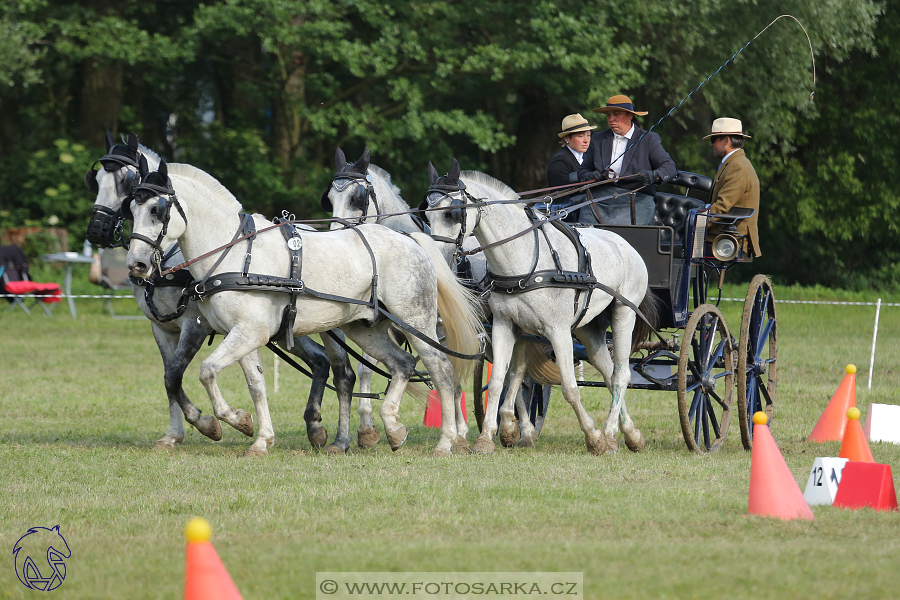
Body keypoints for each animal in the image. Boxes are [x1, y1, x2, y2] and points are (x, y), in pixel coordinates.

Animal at [83, 131, 352, 450]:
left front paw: (210, 423)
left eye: (126, 182)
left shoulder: (195, 324)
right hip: (285, 329)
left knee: (344, 372)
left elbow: (175, 374)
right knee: (320, 361)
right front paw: (174, 434)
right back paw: (314, 426)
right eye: (97, 180)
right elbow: (169, 378)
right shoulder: (162, 328)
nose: (97, 230)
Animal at [125, 159, 486, 454]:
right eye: (132, 208)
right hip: (365, 329)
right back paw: (393, 428)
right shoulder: (242, 333)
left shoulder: (247, 332)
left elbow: (207, 370)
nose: (137, 265)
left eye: (157, 210)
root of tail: (412, 241)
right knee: (403, 363)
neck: (236, 253)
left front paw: (227, 421)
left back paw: (447, 441)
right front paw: (258, 435)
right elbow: (256, 385)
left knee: (441, 369)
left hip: (417, 321)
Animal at [422, 159, 652, 454]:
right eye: (427, 215)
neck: (522, 259)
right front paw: (487, 438)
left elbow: (569, 387)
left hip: (624, 313)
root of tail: (623, 243)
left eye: (452, 213)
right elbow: (499, 381)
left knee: (621, 375)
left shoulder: (558, 331)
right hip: (589, 329)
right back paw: (630, 434)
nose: (438, 257)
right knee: (610, 374)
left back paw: (610, 433)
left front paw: (593, 437)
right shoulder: (505, 326)